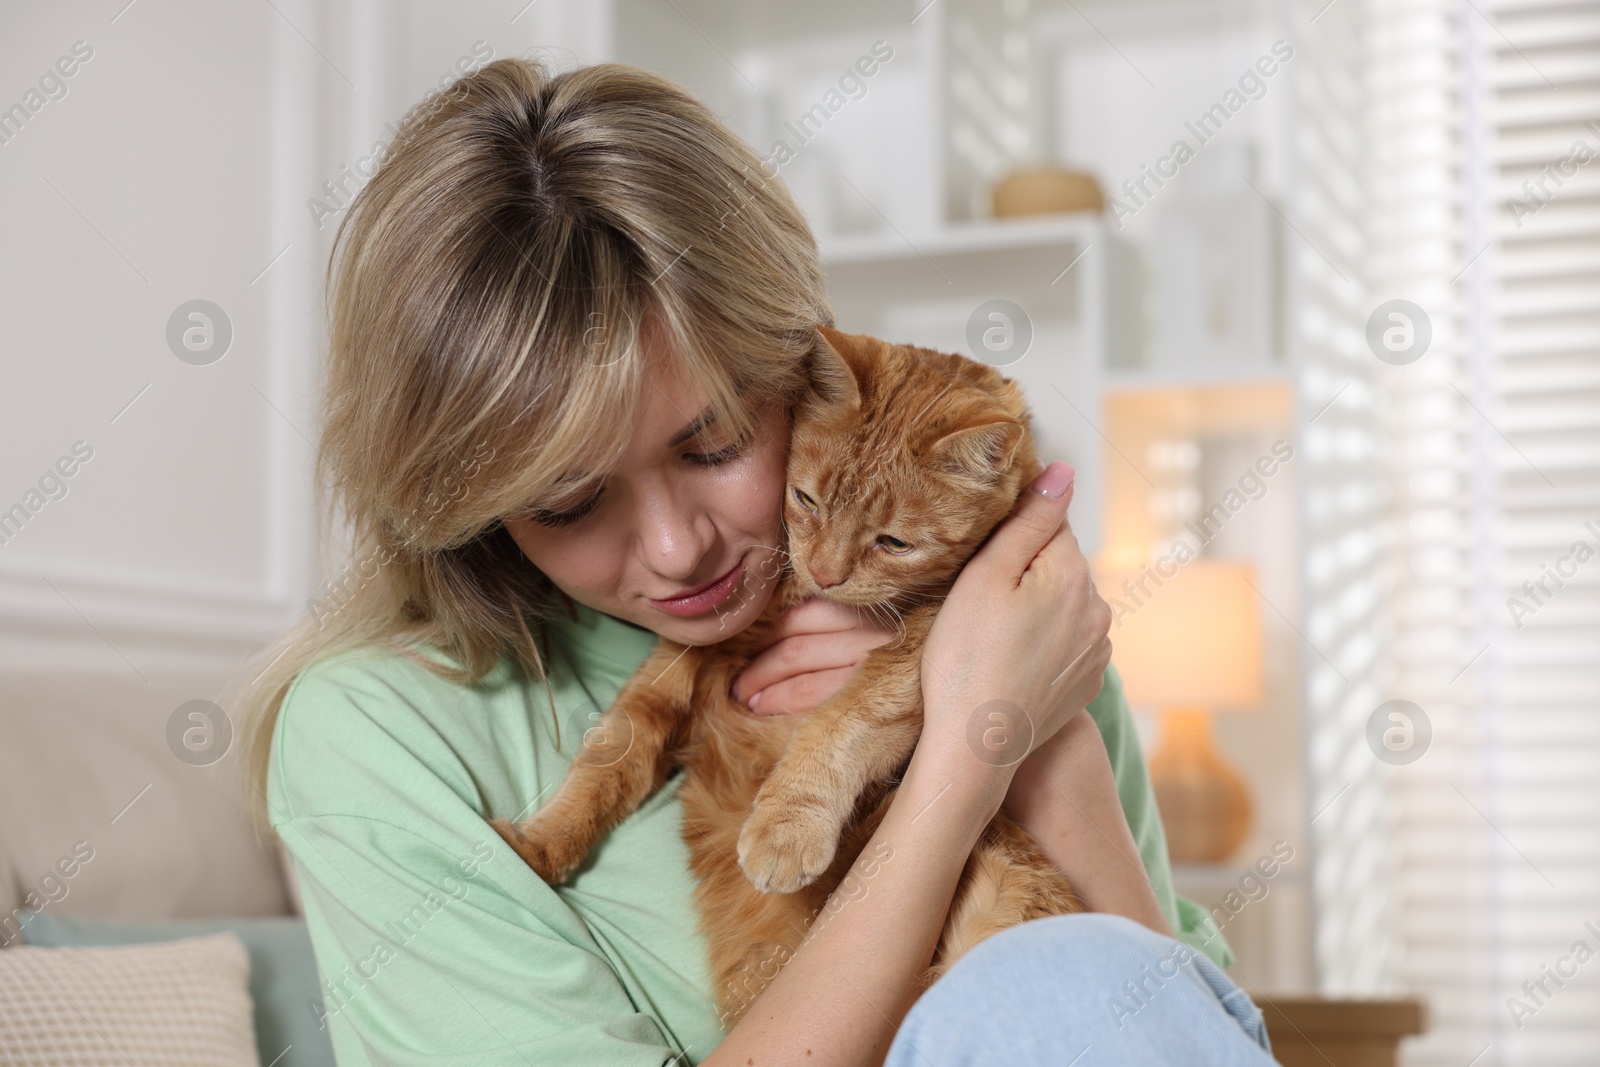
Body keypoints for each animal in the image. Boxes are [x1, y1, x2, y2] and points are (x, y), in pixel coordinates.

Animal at [492, 327, 1081, 1023]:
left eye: (895, 543)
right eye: (805, 500)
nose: (825, 573)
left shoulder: (922, 647)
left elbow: (847, 721)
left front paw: (786, 825)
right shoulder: (680, 666)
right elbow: (609, 757)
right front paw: (540, 843)